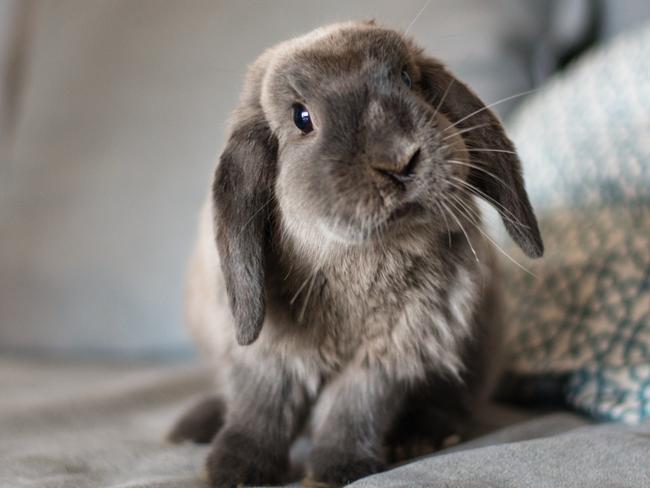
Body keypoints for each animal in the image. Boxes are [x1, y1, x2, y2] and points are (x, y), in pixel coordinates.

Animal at [167, 21, 540, 488]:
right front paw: (232, 471)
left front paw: (336, 469)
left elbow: (353, 409)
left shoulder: (388, 355)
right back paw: (192, 427)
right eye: (301, 117)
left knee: (453, 403)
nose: (399, 159)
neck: (360, 258)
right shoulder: (267, 355)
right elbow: (260, 409)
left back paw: (421, 438)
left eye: (407, 79)